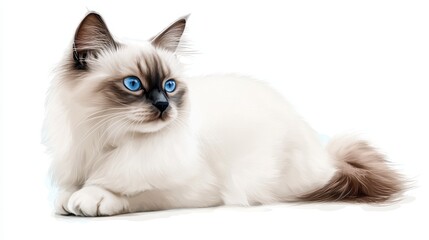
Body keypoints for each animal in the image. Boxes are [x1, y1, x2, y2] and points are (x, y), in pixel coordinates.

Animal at [44, 12, 404, 217]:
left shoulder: (196, 191)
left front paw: (92, 198)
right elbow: (69, 192)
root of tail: (324, 152)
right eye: (133, 84)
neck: (107, 140)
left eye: (170, 86)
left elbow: (131, 193)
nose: (163, 106)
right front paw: (70, 199)